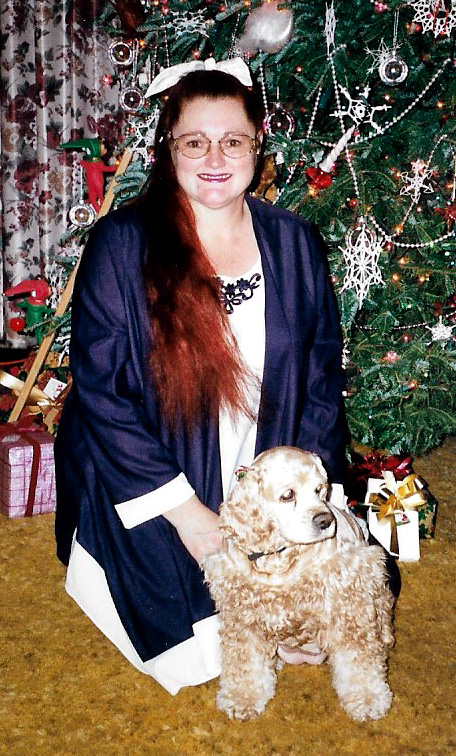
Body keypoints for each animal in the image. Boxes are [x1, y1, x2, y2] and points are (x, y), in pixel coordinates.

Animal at [201, 446, 394, 724]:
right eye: (288, 495)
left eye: (319, 490)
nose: (325, 521)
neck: (280, 559)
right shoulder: (242, 613)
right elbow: (244, 661)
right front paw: (242, 699)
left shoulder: (347, 603)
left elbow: (360, 658)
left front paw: (368, 700)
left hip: (375, 573)